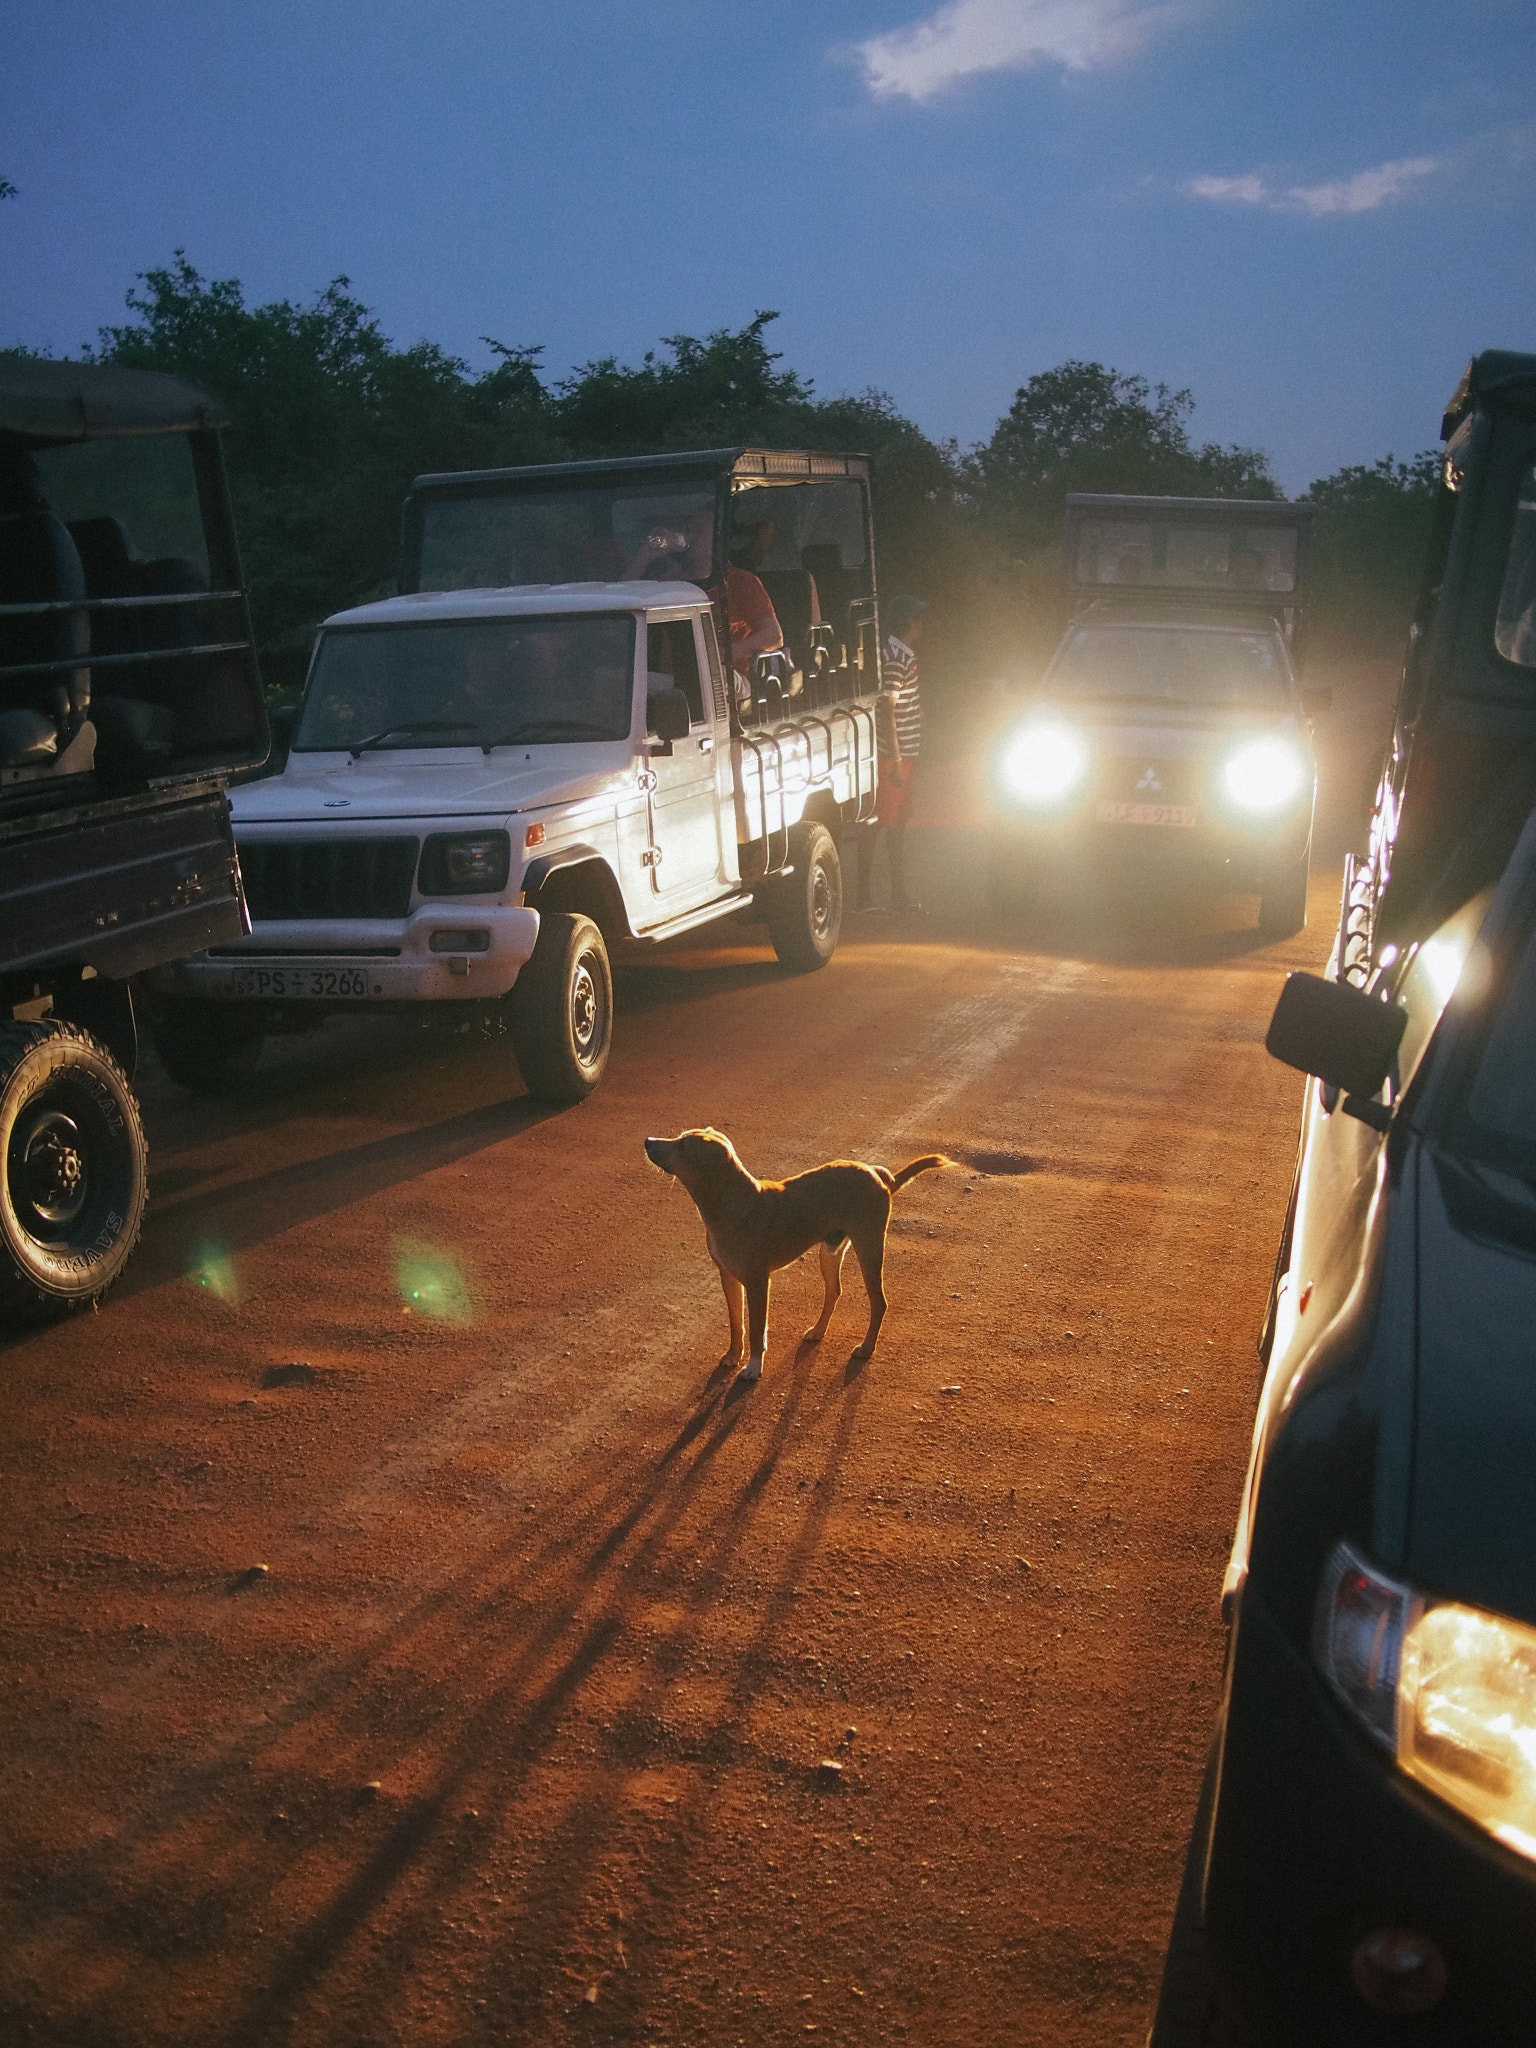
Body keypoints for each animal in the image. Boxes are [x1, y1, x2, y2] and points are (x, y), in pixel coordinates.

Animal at [643, 1130, 958, 1384]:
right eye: (680, 1138)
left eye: (684, 1146)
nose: (647, 1141)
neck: (732, 1202)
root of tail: (878, 1175)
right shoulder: (729, 1277)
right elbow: (736, 1322)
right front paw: (734, 1355)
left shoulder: (758, 1283)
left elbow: (756, 1330)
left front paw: (753, 1368)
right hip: (830, 1251)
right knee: (834, 1291)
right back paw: (818, 1330)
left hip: (869, 1246)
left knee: (879, 1302)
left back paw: (866, 1348)